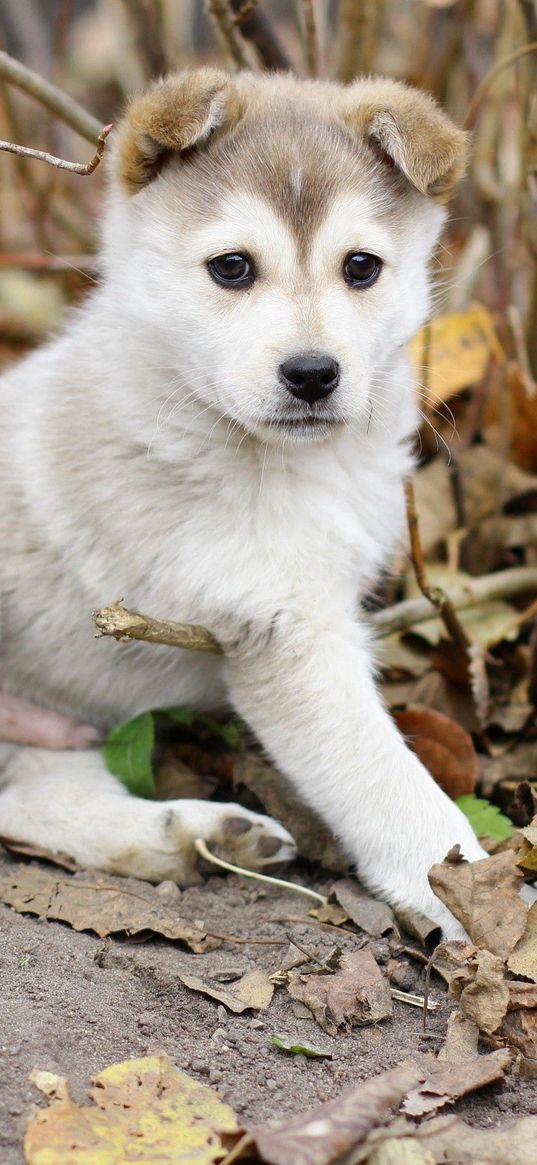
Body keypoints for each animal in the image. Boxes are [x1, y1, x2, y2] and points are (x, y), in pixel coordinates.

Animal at [0, 68, 484, 932]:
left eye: (361, 267)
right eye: (231, 267)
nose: (312, 373)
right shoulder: (285, 631)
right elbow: (395, 792)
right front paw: (478, 896)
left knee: (33, 796)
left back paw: (189, 837)